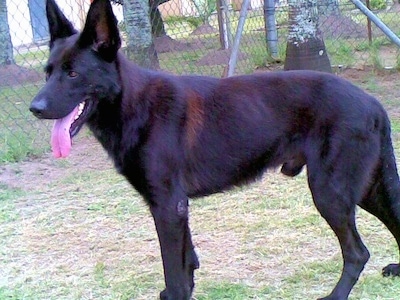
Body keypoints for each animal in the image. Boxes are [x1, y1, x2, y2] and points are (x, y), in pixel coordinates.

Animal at [29, 0, 400, 298]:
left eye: (73, 74)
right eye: (47, 72)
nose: (35, 108)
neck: (132, 105)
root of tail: (373, 103)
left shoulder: (167, 206)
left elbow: (175, 271)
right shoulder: (176, 207)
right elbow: (187, 261)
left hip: (330, 192)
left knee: (357, 253)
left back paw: (335, 295)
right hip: (365, 190)